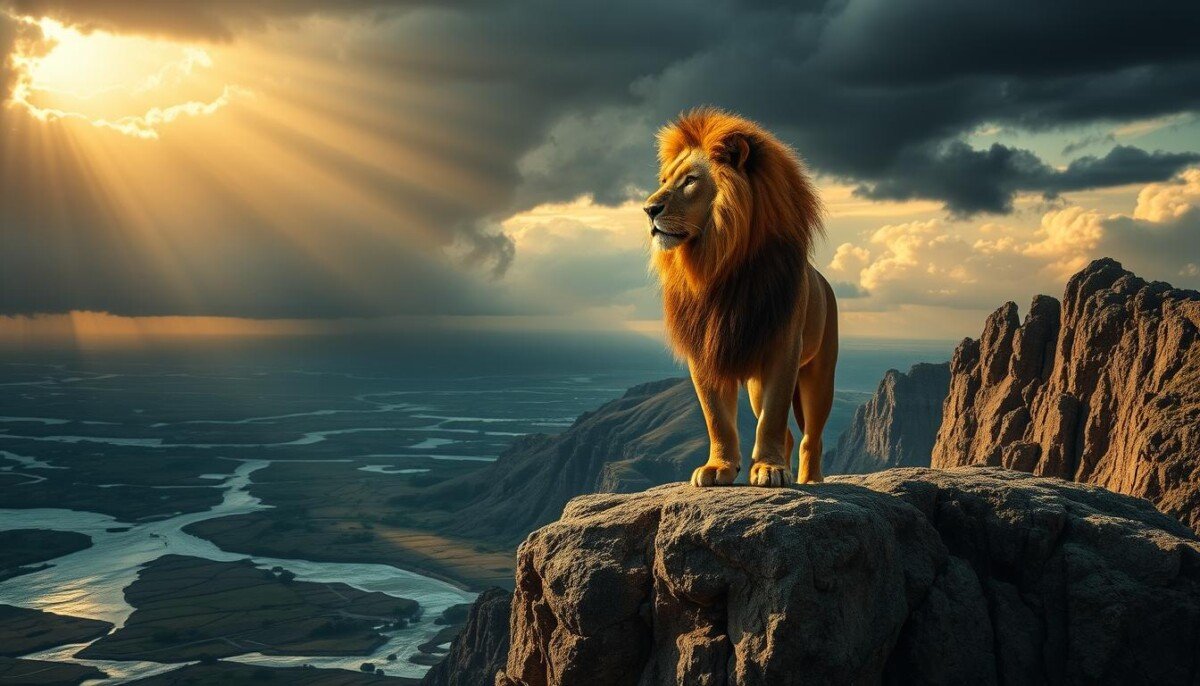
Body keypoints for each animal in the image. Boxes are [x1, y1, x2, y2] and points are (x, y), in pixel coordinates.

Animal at [644, 108, 838, 487]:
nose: (649, 209)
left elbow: (774, 415)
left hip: (820, 372)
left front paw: (770, 468)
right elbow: (717, 417)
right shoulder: (704, 349)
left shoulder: (783, 346)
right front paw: (719, 467)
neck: (718, 263)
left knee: (812, 436)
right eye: (663, 180)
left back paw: (810, 479)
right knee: (789, 434)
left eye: (690, 180)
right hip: (755, 385)